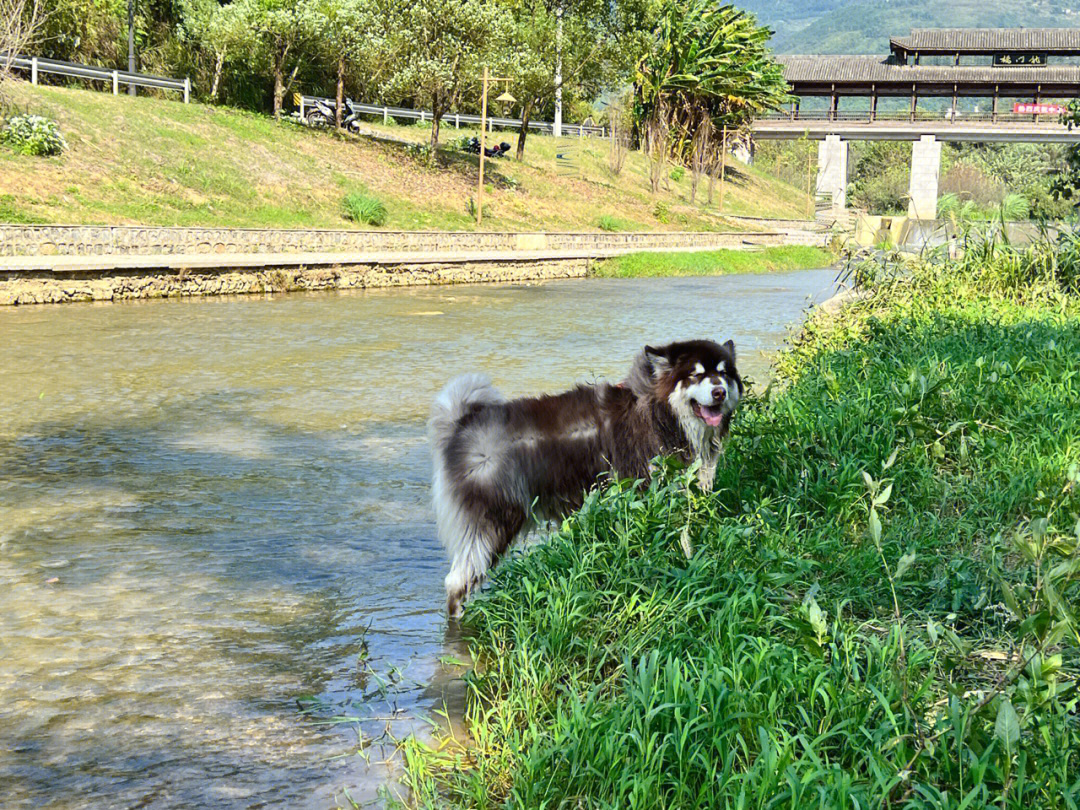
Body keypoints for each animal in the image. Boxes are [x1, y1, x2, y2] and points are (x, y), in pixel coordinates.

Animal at [429, 341, 743, 613]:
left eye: (724, 373)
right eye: (696, 375)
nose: (719, 392)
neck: (660, 412)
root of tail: (461, 423)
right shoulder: (641, 491)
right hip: (493, 523)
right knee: (457, 582)